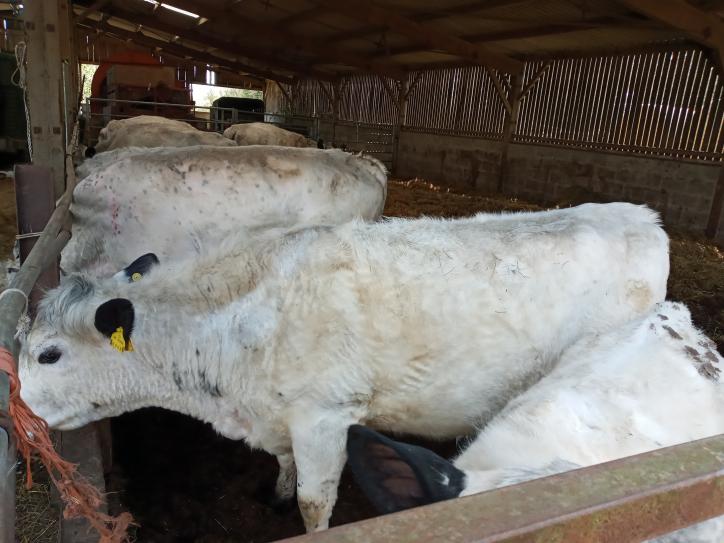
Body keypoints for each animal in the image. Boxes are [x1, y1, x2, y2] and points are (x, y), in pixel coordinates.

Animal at [19, 203, 669, 532]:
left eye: (49, 354)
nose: (18, 413)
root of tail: (640, 216)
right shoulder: (281, 416)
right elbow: (284, 469)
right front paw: (275, 497)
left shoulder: (325, 414)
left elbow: (316, 501)